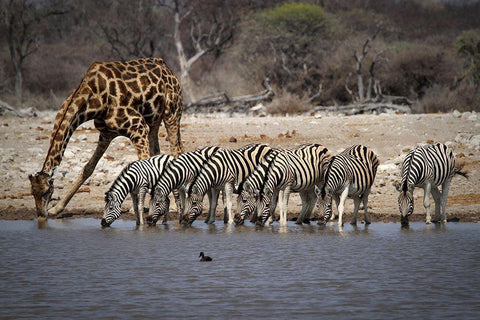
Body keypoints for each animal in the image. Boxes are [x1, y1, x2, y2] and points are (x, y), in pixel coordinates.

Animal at [28, 57, 184, 220]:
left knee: (176, 153)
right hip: (154, 119)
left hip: (172, 113)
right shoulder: (106, 134)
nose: (41, 215)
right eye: (32, 192)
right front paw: (56, 208)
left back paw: (174, 206)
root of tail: (167, 68)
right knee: (160, 152)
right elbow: (88, 168)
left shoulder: (138, 127)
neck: (93, 99)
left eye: (46, 191)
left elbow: (145, 168)